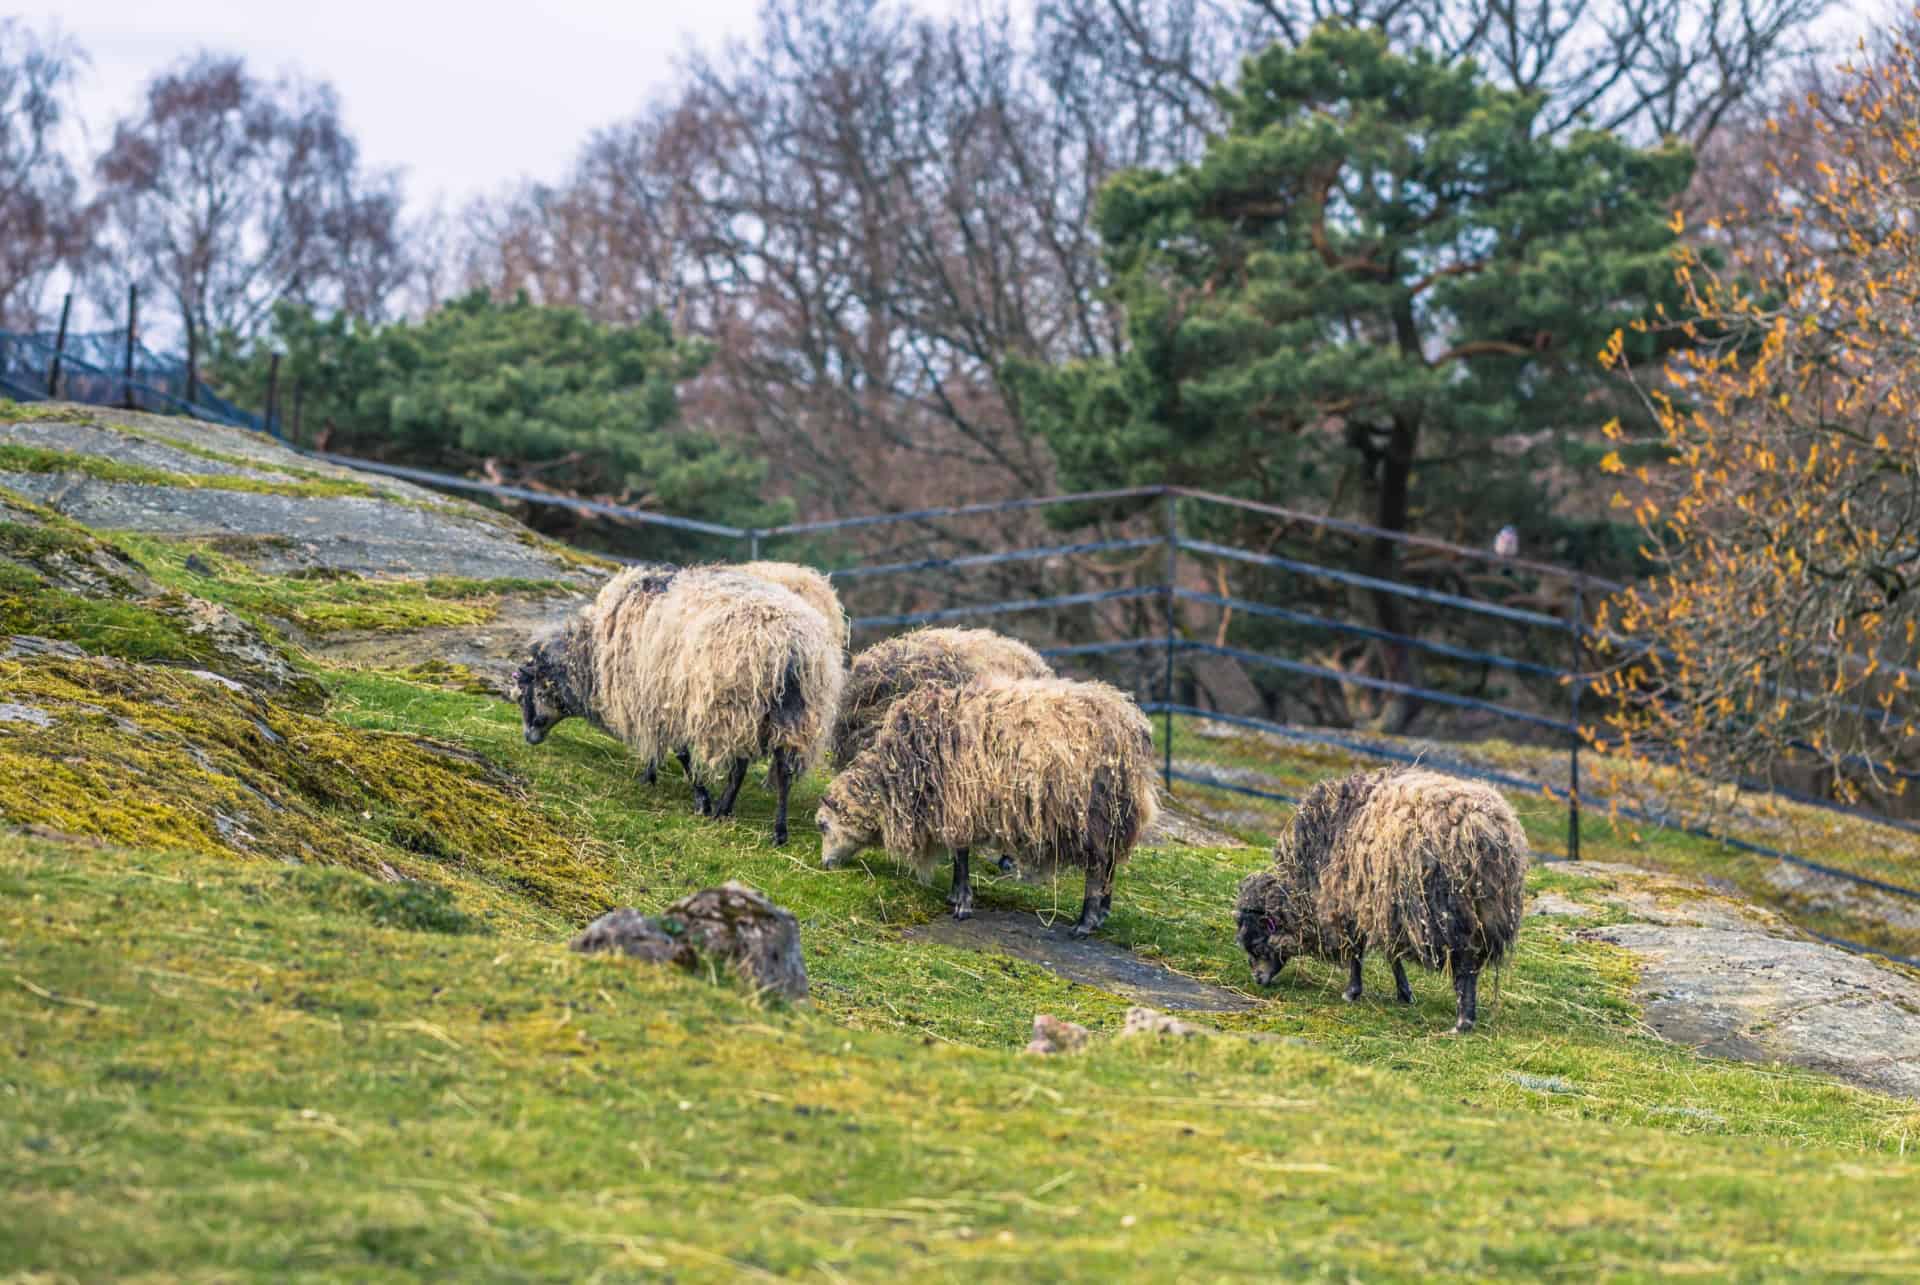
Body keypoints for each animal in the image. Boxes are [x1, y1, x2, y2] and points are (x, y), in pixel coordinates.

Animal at [510, 560, 840, 841]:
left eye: (531, 691)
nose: (529, 736)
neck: (590, 654)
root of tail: (792, 644)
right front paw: (652, 775)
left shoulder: (658, 701)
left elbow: (679, 752)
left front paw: (698, 798)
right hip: (795, 713)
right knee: (784, 769)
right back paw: (778, 831)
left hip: (735, 708)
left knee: (740, 766)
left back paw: (722, 810)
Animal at [810, 676, 1152, 937]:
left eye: (823, 825)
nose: (825, 865)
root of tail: (1130, 723)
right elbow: (957, 856)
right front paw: (954, 896)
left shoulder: (958, 805)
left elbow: (961, 856)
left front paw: (962, 903)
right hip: (1117, 813)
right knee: (1110, 864)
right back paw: (1103, 913)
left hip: (1093, 812)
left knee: (1097, 866)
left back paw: (1085, 923)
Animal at [1228, 768, 1528, 1029]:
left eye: (1257, 945)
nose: (1257, 980)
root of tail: (1484, 828)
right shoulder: (1381, 907)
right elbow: (1391, 954)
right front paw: (1405, 993)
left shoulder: (1349, 903)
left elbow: (1358, 951)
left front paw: (1352, 992)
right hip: (1487, 912)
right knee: (1473, 964)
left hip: (1446, 909)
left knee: (1464, 964)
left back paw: (1462, 1022)